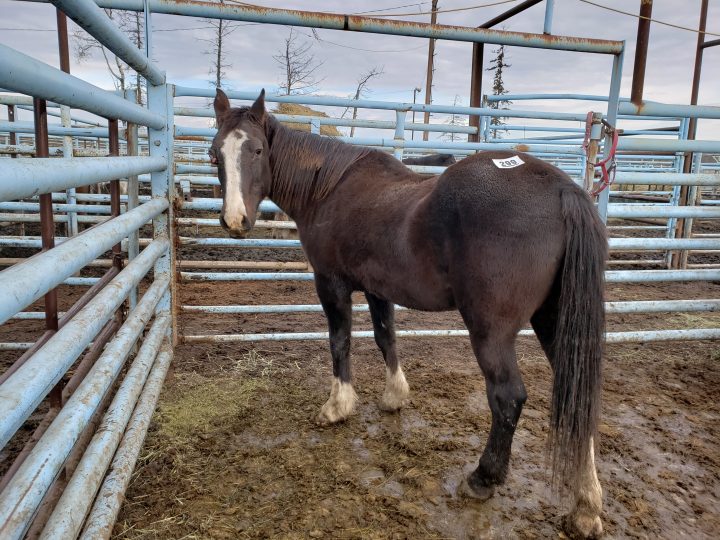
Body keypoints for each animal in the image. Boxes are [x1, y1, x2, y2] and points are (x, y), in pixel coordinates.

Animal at [209, 89, 608, 539]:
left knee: (508, 397)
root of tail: (561, 190)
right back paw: (585, 506)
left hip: (492, 331)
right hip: (554, 321)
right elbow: (386, 338)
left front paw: (337, 406)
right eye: (214, 154)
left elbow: (340, 341)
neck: (330, 189)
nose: (235, 220)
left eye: (257, 149)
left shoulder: (331, 283)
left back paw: (483, 478)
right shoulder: (378, 288)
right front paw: (394, 397)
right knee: (580, 399)